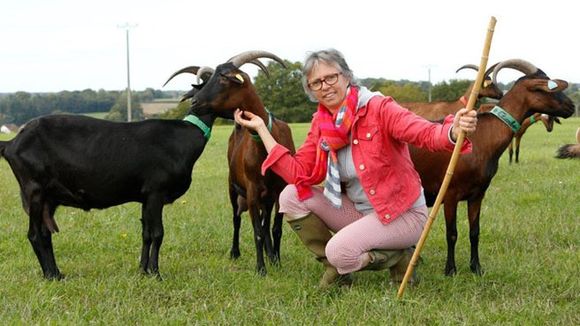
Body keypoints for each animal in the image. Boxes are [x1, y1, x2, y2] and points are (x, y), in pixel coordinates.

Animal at [0, 67, 213, 278]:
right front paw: (155, 273)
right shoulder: (156, 193)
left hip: (49, 198)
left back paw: (56, 274)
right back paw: (51, 276)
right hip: (34, 190)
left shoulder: (145, 197)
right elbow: (157, 233)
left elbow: (146, 234)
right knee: (34, 234)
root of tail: (12, 143)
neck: (181, 138)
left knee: (45, 234)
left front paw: (142, 271)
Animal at [190, 51, 296, 276]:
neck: (266, 143)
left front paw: (277, 261)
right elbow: (257, 231)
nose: (194, 102)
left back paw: (271, 254)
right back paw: (235, 252)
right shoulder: (253, 190)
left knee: (265, 223)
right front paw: (261, 269)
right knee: (236, 219)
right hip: (233, 187)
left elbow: (275, 229)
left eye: (223, 78)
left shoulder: (279, 190)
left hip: (267, 197)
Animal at [408, 58, 576, 276]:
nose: (572, 106)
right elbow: (452, 233)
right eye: (547, 86)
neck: (481, 137)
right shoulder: (450, 194)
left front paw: (476, 268)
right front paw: (450, 270)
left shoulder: (478, 194)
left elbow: (474, 232)